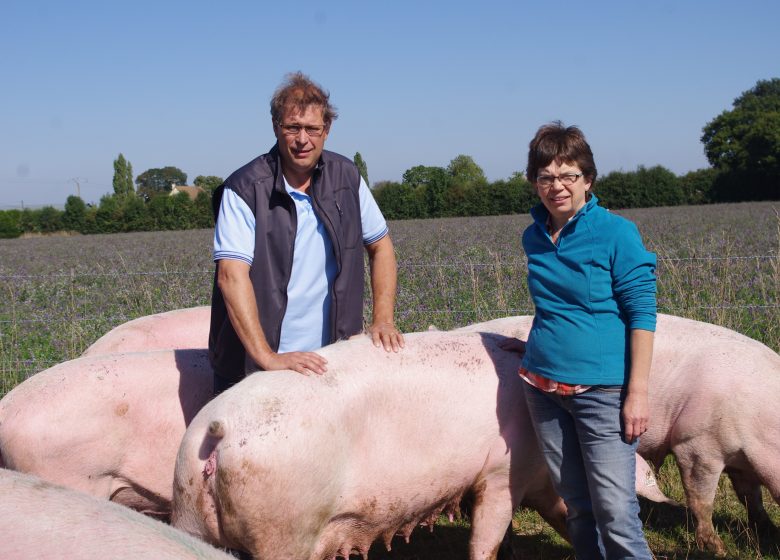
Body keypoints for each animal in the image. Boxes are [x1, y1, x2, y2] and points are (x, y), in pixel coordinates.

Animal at [450, 312, 780, 552]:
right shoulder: (696, 445)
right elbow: (701, 498)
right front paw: (718, 548)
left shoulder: (739, 457)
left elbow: (750, 496)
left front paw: (767, 530)